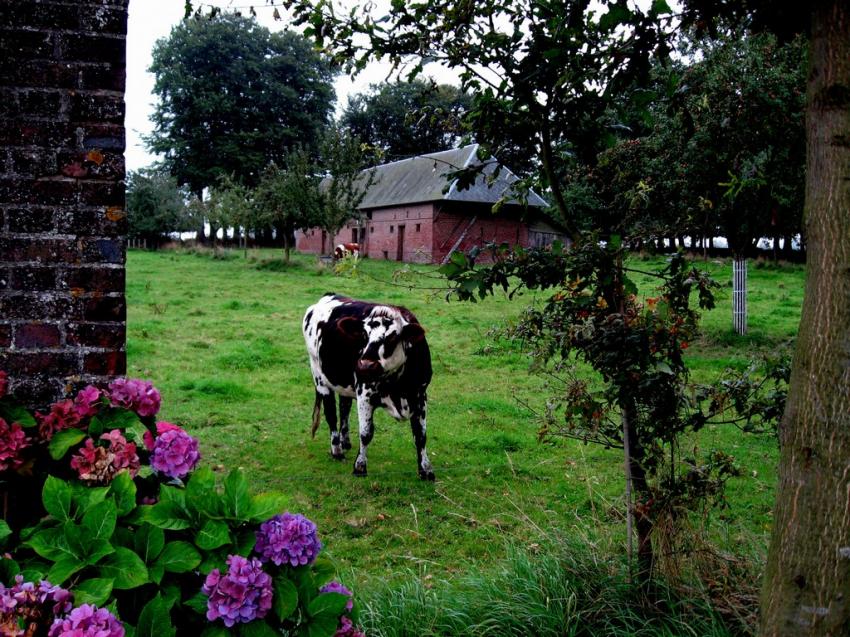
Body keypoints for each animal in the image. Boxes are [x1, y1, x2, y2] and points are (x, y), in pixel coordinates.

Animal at [302, 294, 434, 476]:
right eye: (363, 335)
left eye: (392, 337)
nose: (365, 365)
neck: (398, 385)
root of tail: (329, 295)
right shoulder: (365, 393)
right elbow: (366, 433)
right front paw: (360, 466)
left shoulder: (420, 394)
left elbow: (421, 435)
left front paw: (426, 470)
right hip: (320, 378)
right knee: (331, 415)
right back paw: (337, 451)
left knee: (344, 408)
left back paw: (345, 442)